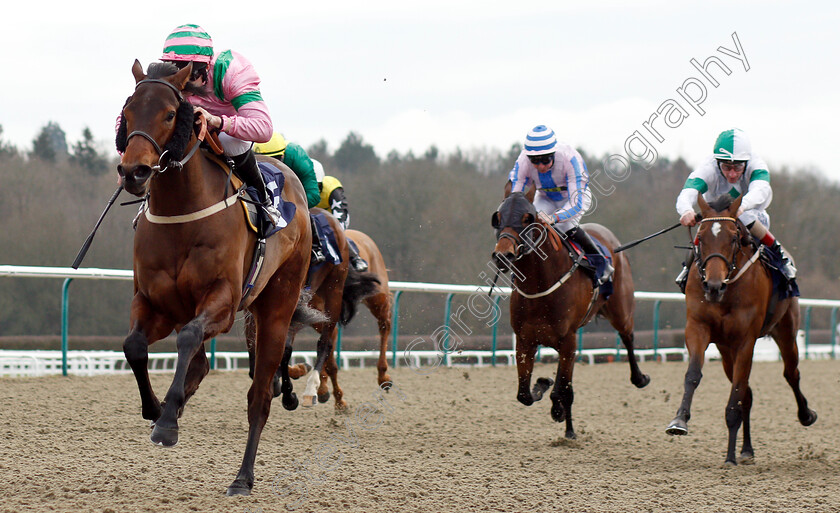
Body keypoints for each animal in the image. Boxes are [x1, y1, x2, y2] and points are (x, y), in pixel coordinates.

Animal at [116, 60, 310, 496]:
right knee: (201, 365)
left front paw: (166, 424)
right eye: (128, 112)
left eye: (171, 114)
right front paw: (156, 409)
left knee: (259, 399)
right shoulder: (153, 303)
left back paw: (243, 477)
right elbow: (134, 345)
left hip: (276, 309)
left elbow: (188, 337)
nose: (134, 171)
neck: (181, 215)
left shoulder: (221, 302)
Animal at [488, 190, 648, 438]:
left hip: (621, 310)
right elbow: (525, 394)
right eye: (498, 217)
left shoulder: (568, 340)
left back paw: (639, 378)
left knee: (628, 337)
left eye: (527, 218)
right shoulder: (525, 340)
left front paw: (564, 421)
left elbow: (563, 389)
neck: (540, 285)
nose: (503, 255)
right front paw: (542, 384)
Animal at [668, 193, 816, 464]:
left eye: (733, 237)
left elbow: (735, 396)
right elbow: (693, 374)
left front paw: (729, 457)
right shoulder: (697, 328)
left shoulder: (746, 340)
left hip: (786, 331)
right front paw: (679, 420)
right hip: (726, 351)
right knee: (747, 394)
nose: (713, 286)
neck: (726, 293)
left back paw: (805, 415)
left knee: (791, 374)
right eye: (700, 237)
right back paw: (746, 449)